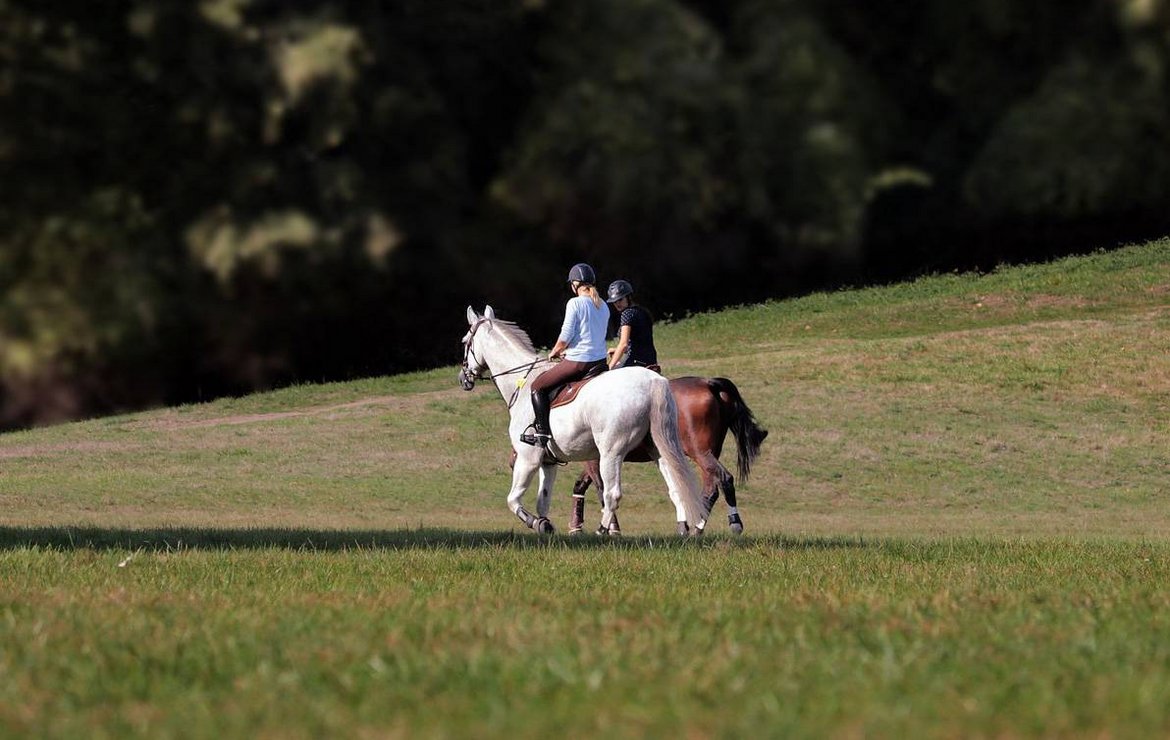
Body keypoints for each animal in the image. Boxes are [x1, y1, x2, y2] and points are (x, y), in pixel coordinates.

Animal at [460, 304, 706, 533]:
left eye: (464, 342)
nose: (463, 378)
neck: (522, 382)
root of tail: (652, 381)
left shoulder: (527, 458)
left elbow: (513, 500)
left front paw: (535, 523)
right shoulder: (548, 462)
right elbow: (543, 501)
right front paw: (544, 525)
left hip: (611, 453)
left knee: (612, 494)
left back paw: (602, 531)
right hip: (658, 449)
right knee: (676, 486)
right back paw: (685, 528)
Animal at [568, 379, 767, 533]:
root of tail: (708, 382)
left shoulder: (597, 459)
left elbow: (600, 489)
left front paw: (610, 528)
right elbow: (580, 485)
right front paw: (576, 526)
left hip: (700, 453)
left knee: (724, 478)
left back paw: (729, 523)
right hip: (709, 453)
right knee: (711, 489)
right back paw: (696, 528)